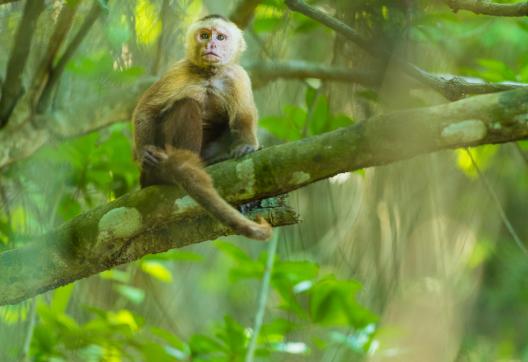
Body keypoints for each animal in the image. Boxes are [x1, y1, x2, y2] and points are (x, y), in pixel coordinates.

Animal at [132, 14, 272, 240]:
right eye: (204, 35)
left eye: (221, 37)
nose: (211, 44)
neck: (209, 74)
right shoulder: (178, 70)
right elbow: (146, 110)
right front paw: (145, 152)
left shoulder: (237, 75)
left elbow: (243, 116)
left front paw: (247, 145)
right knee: (186, 105)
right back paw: (169, 170)